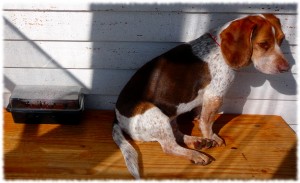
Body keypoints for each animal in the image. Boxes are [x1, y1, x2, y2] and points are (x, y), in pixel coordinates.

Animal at [111, 13, 290, 179]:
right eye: (263, 44)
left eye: (281, 40)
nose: (287, 69)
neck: (218, 47)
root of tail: (117, 119)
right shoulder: (215, 95)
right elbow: (207, 122)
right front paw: (212, 137)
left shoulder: (205, 100)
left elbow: (201, 116)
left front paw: (202, 130)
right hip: (154, 112)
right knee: (169, 147)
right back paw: (196, 154)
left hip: (169, 115)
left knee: (176, 134)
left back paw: (196, 142)